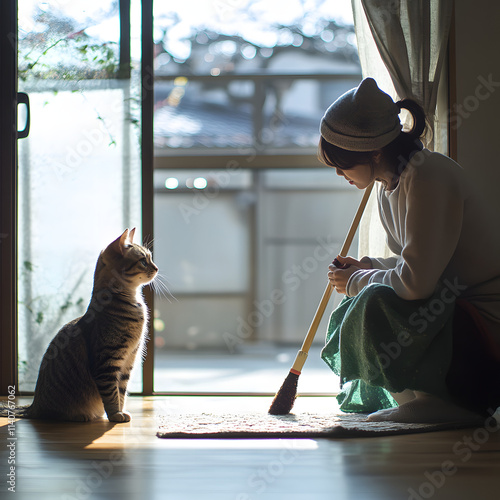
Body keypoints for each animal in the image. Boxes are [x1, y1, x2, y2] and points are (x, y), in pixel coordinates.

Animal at [1, 229, 157, 422]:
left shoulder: (128, 361)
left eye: (150, 258)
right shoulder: (107, 362)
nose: (156, 268)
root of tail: (33, 406)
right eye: (143, 260)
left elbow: (121, 391)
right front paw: (115, 415)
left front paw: (120, 412)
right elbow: (112, 393)